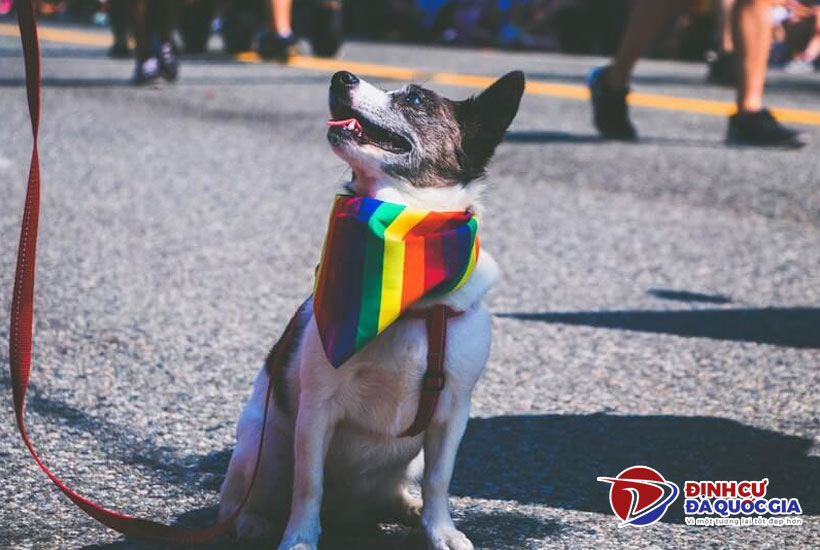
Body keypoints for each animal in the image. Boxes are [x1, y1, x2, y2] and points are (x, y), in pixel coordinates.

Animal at [218, 69, 524, 550]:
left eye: (415, 100)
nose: (340, 76)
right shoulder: (316, 411)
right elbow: (308, 484)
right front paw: (300, 538)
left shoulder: (452, 413)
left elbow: (440, 480)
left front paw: (440, 529)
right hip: (261, 447)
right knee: (237, 500)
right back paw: (252, 523)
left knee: (398, 488)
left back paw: (407, 507)